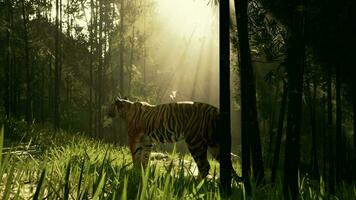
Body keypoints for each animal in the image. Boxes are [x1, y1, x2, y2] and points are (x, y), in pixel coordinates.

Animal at [108, 97, 242, 181]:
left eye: (111, 106)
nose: (107, 112)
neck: (127, 109)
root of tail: (215, 110)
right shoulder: (147, 141)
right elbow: (145, 157)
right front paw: (143, 173)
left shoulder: (134, 138)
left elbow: (136, 155)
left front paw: (135, 171)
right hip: (215, 144)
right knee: (225, 164)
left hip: (195, 142)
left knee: (204, 166)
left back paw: (194, 184)